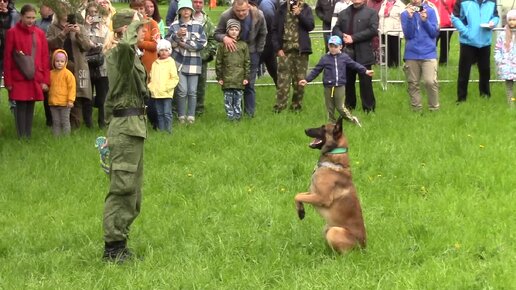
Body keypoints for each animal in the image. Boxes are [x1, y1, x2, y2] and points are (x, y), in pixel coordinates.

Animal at [294, 116, 366, 253]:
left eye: (323, 128)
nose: (305, 129)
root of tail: (363, 247)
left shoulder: (322, 198)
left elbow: (297, 195)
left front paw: (300, 212)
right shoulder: (313, 193)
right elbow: (298, 195)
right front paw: (301, 211)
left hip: (334, 231)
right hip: (327, 228)